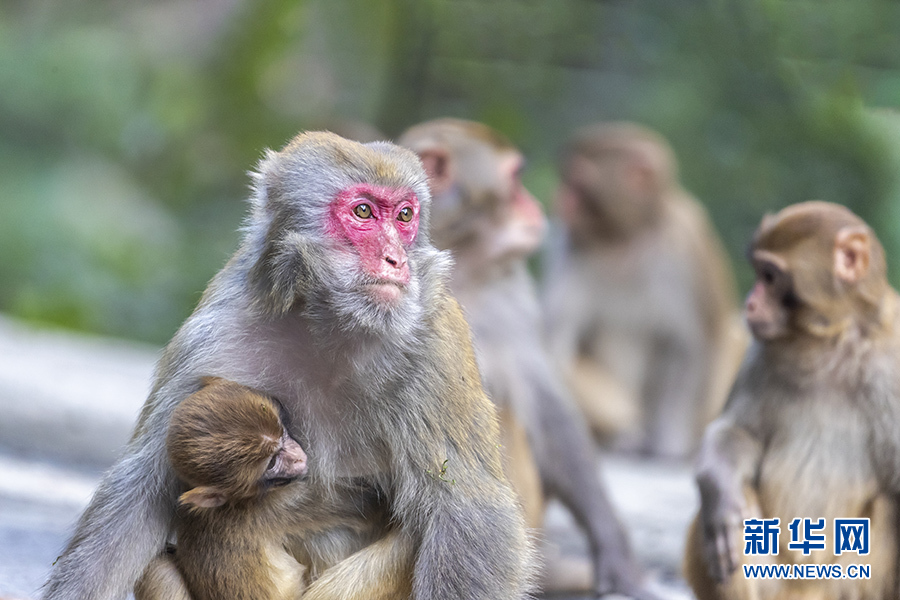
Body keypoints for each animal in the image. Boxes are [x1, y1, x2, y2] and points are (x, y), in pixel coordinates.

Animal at [136, 380, 412, 600]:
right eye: (271, 463)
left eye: (283, 433)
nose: (298, 457)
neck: (234, 502)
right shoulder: (282, 503)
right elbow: (373, 507)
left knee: (158, 567)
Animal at [544, 122, 740, 460]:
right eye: (566, 177)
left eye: (579, 180)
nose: (559, 197)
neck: (625, 235)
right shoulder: (574, 246)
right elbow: (555, 342)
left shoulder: (683, 247)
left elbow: (691, 347)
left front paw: (671, 445)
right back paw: (621, 436)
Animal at [684, 202, 900, 600]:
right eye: (758, 273)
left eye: (770, 277)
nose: (749, 303)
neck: (831, 342)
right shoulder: (760, 353)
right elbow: (739, 433)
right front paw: (720, 494)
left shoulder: (891, 363)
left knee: (889, 506)